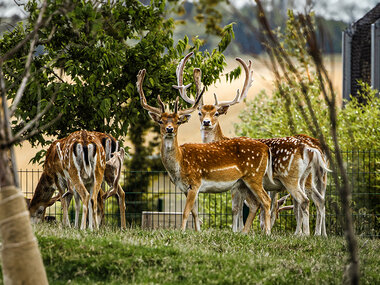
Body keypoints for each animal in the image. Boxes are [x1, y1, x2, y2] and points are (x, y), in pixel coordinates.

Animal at [138, 63, 274, 234]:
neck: (179, 163)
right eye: (161, 121)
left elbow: (185, 212)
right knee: (255, 204)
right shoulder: (185, 188)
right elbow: (195, 213)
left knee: (266, 200)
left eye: (177, 121)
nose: (169, 129)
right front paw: (197, 232)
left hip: (254, 176)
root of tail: (265, 148)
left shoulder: (195, 182)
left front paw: (182, 232)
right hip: (242, 182)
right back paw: (244, 233)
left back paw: (267, 233)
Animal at [178, 53, 330, 235]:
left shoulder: (236, 185)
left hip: (295, 178)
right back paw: (319, 234)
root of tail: (312, 147)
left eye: (216, 113)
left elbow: (236, 209)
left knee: (307, 201)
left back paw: (305, 234)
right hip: (314, 177)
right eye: (200, 113)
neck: (221, 140)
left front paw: (237, 231)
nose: (206, 123)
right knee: (318, 200)